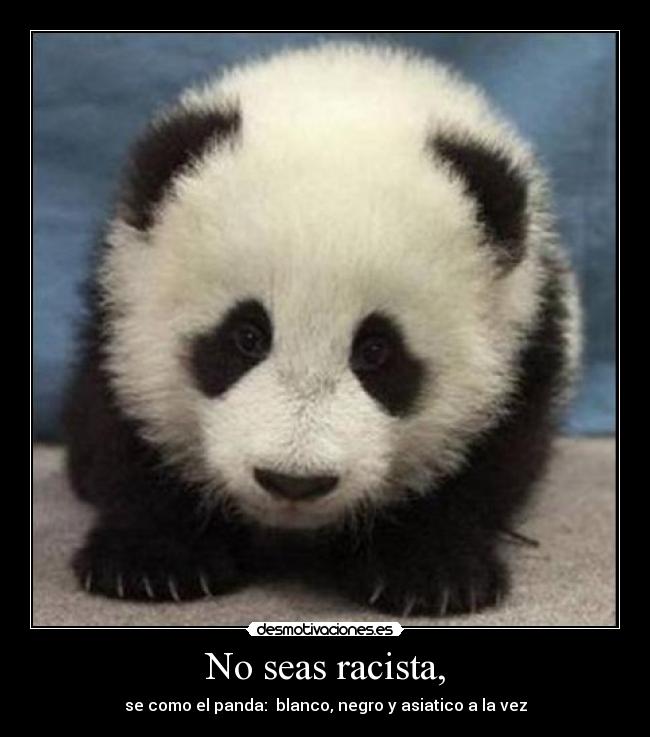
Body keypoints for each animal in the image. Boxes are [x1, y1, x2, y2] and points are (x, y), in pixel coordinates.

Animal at [64, 43, 581, 616]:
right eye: (246, 337)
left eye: (376, 351)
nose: (294, 482)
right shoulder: (119, 311)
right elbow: (127, 429)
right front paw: (154, 560)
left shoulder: (527, 335)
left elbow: (488, 458)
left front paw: (427, 570)